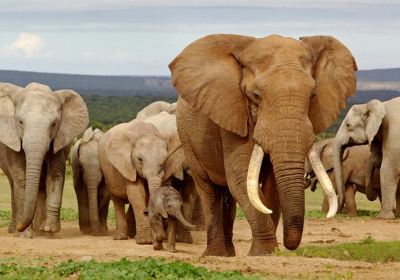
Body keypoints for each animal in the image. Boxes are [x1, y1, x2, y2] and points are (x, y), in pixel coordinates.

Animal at [0, 82, 88, 235]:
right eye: (20, 122)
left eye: (53, 124)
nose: (20, 227)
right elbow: (21, 178)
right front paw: (24, 234)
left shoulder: (58, 140)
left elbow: (55, 175)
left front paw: (49, 229)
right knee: (13, 182)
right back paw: (15, 229)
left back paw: (39, 229)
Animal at [169, 34, 356, 255]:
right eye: (256, 96)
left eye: (312, 96)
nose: (289, 246)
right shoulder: (233, 114)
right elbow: (240, 176)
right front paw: (265, 252)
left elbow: (271, 185)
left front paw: (268, 252)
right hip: (187, 138)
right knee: (208, 189)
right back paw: (216, 254)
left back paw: (229, 254)